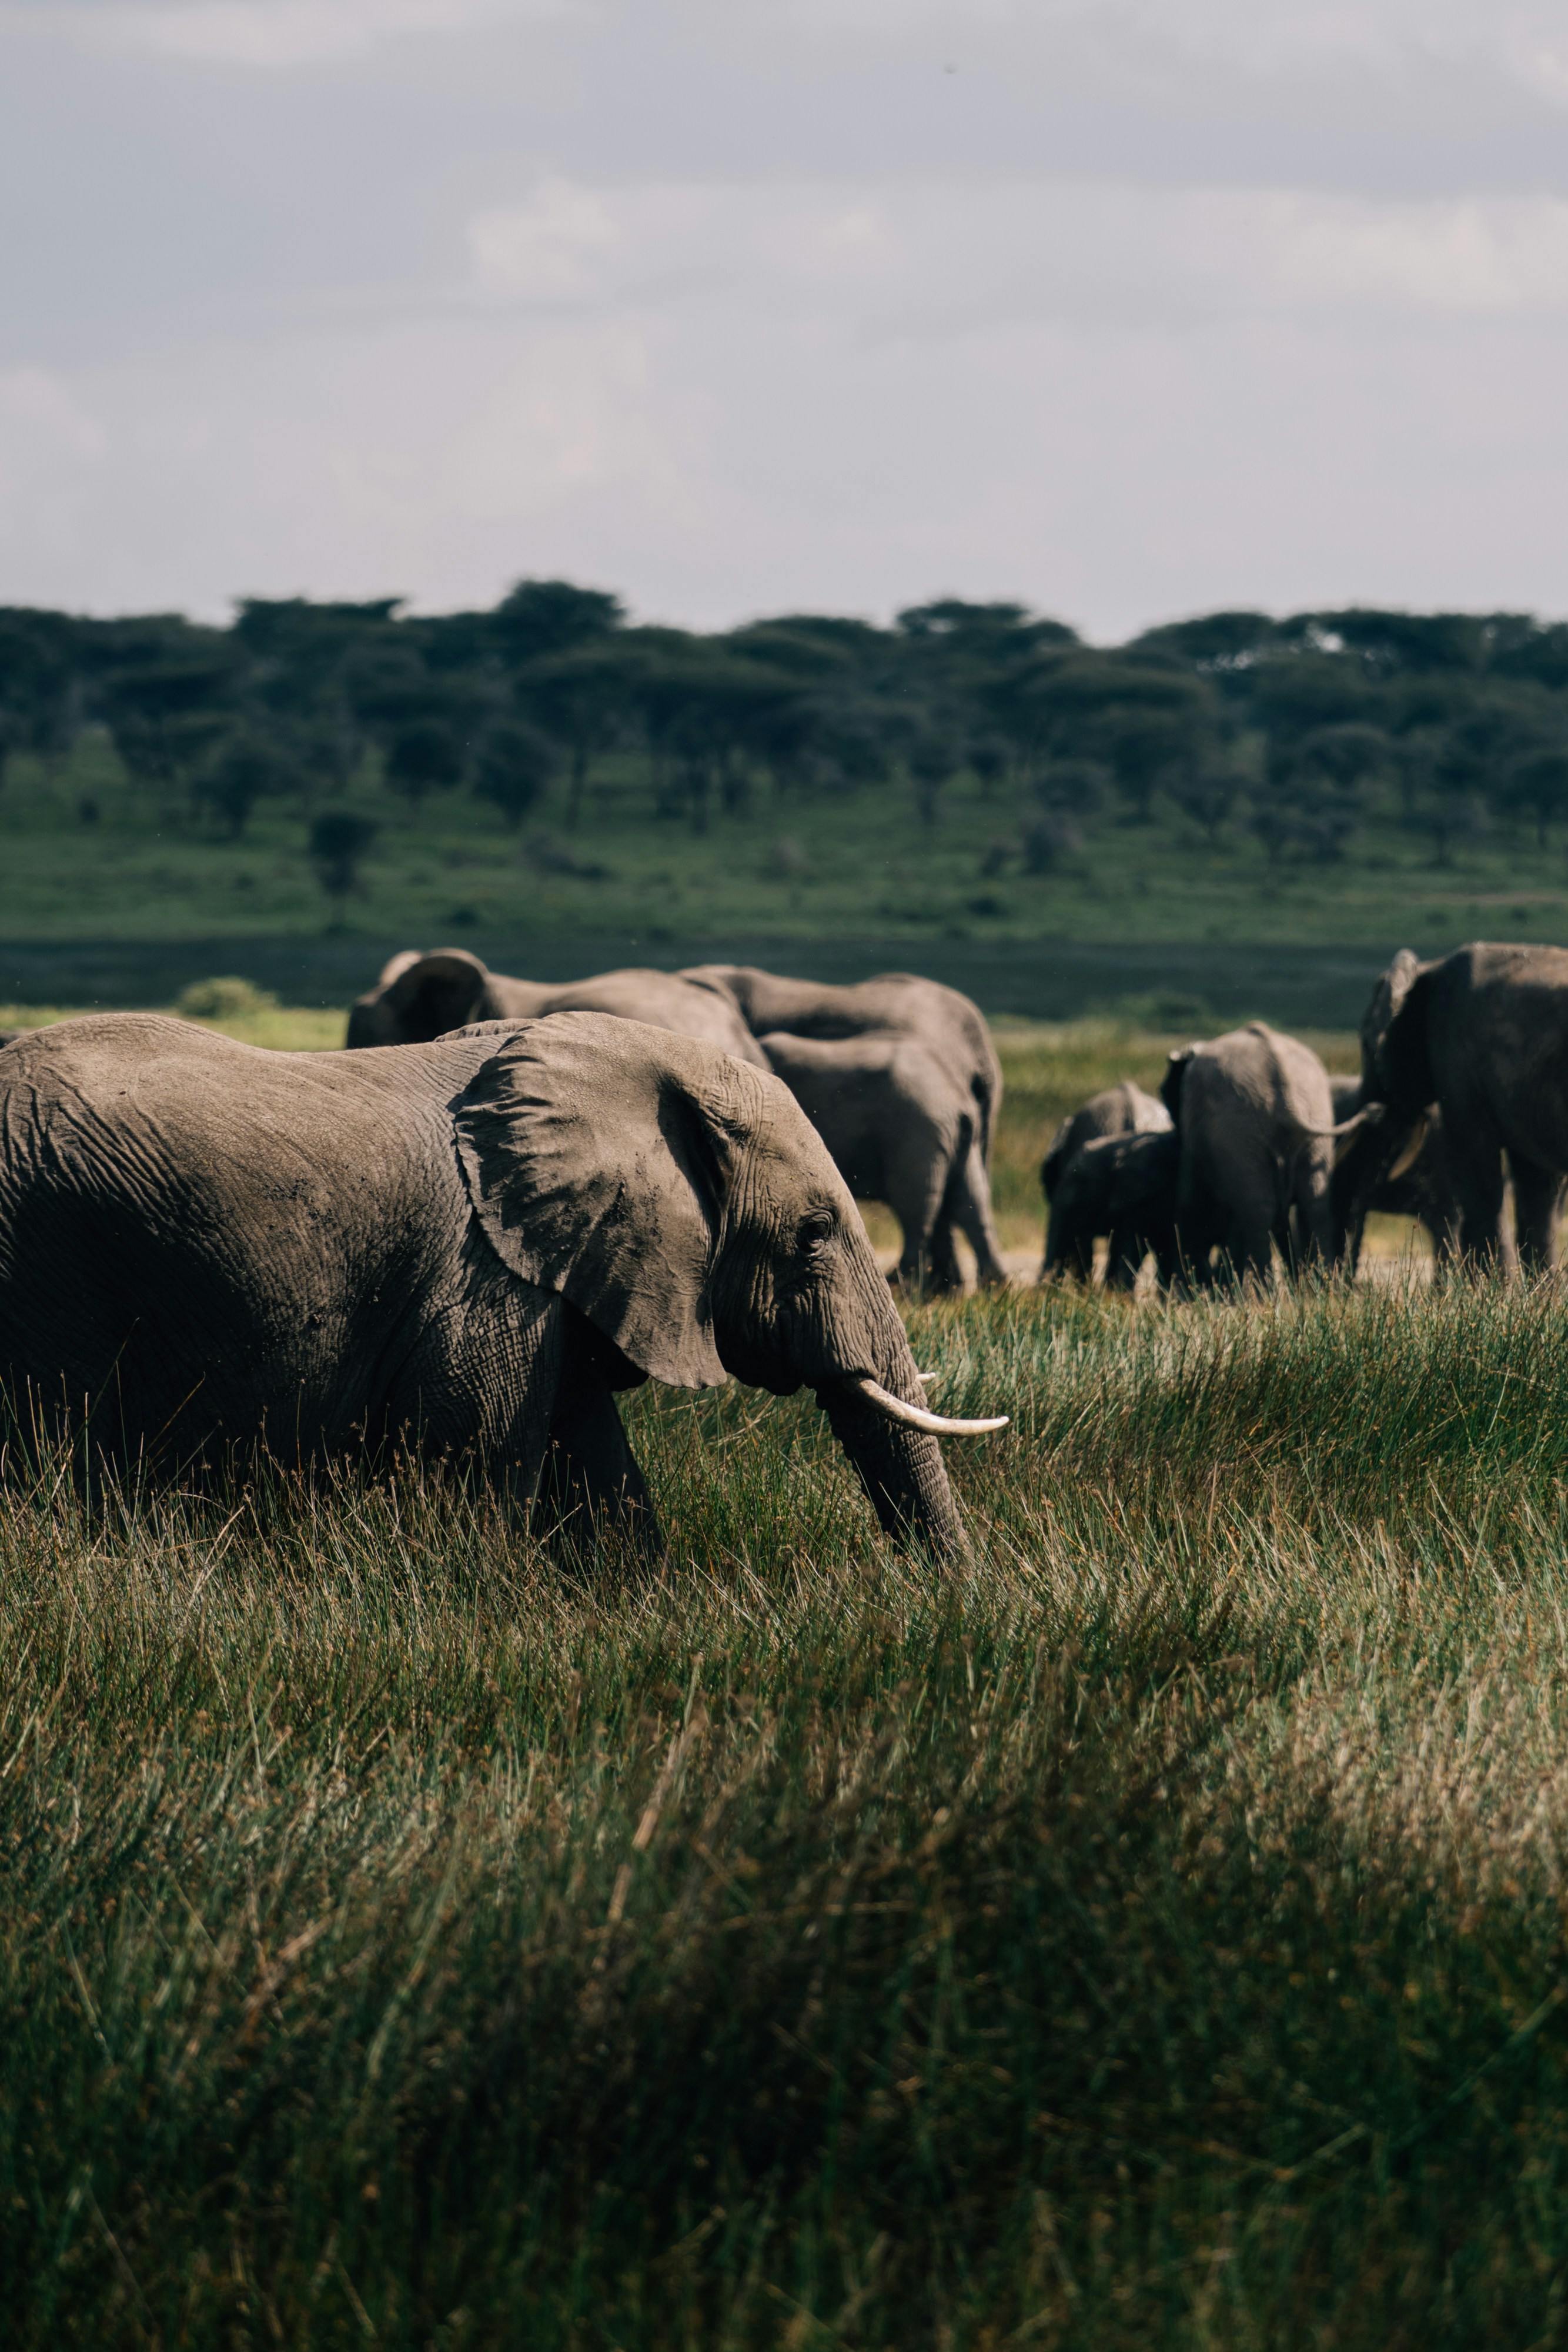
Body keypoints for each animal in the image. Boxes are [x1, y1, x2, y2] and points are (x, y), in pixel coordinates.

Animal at [755, 1029, 1009, 1293]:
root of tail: (958, 1098)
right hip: (952, 1132)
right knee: (969, 1200)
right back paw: (996, 1287)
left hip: (916, 1125)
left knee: (916, 1203)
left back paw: (901, 1285)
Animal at [1161, 1023, 1353, 1285]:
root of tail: (1286, 1097)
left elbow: (1189, 1205)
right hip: (1315, 1119)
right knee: (1314, 1205)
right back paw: (1322, 1287)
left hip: (1238, 1130)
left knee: (1257, 1210)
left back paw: (1263, 1290)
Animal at [1358, 943, 1568, 1273]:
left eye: (1367, 1044)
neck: (1429, 969)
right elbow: (1538, 1182)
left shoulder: (1457, 1063)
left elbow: (1477, 1167)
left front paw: (1493, 1285)